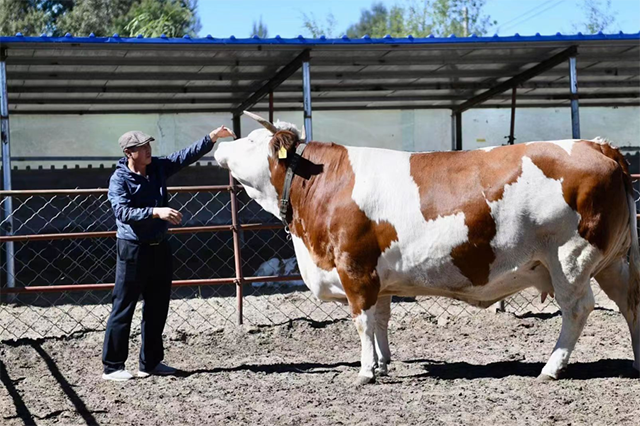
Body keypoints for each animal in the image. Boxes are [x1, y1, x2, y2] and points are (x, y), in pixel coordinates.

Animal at [214, 111, 640, 384]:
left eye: (250, 140)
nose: (219, 144)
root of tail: (597, 146)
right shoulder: (378, 276)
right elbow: (381, 320)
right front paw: (383, 364)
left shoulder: (355, 268)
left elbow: (362, 321)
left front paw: (365, 372)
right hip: (613, 261)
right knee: (630, 304)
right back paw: (637, 361)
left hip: (570, 258)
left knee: (578, 309)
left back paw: (551, 367)